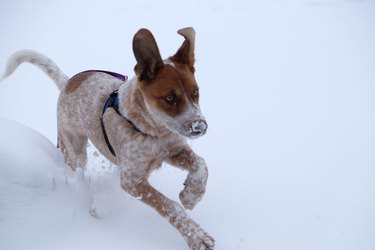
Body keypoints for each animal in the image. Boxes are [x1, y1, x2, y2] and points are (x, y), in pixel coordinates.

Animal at [1, 27, 214, 250]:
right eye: (170, 98)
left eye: (196, 92)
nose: (201, 127)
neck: (150, 130)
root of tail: (68, 82)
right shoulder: (132, 180)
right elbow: (170, 206)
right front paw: (197, 236)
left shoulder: (174, 150)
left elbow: (201, 164)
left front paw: (192, 195)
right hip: (74, 149)